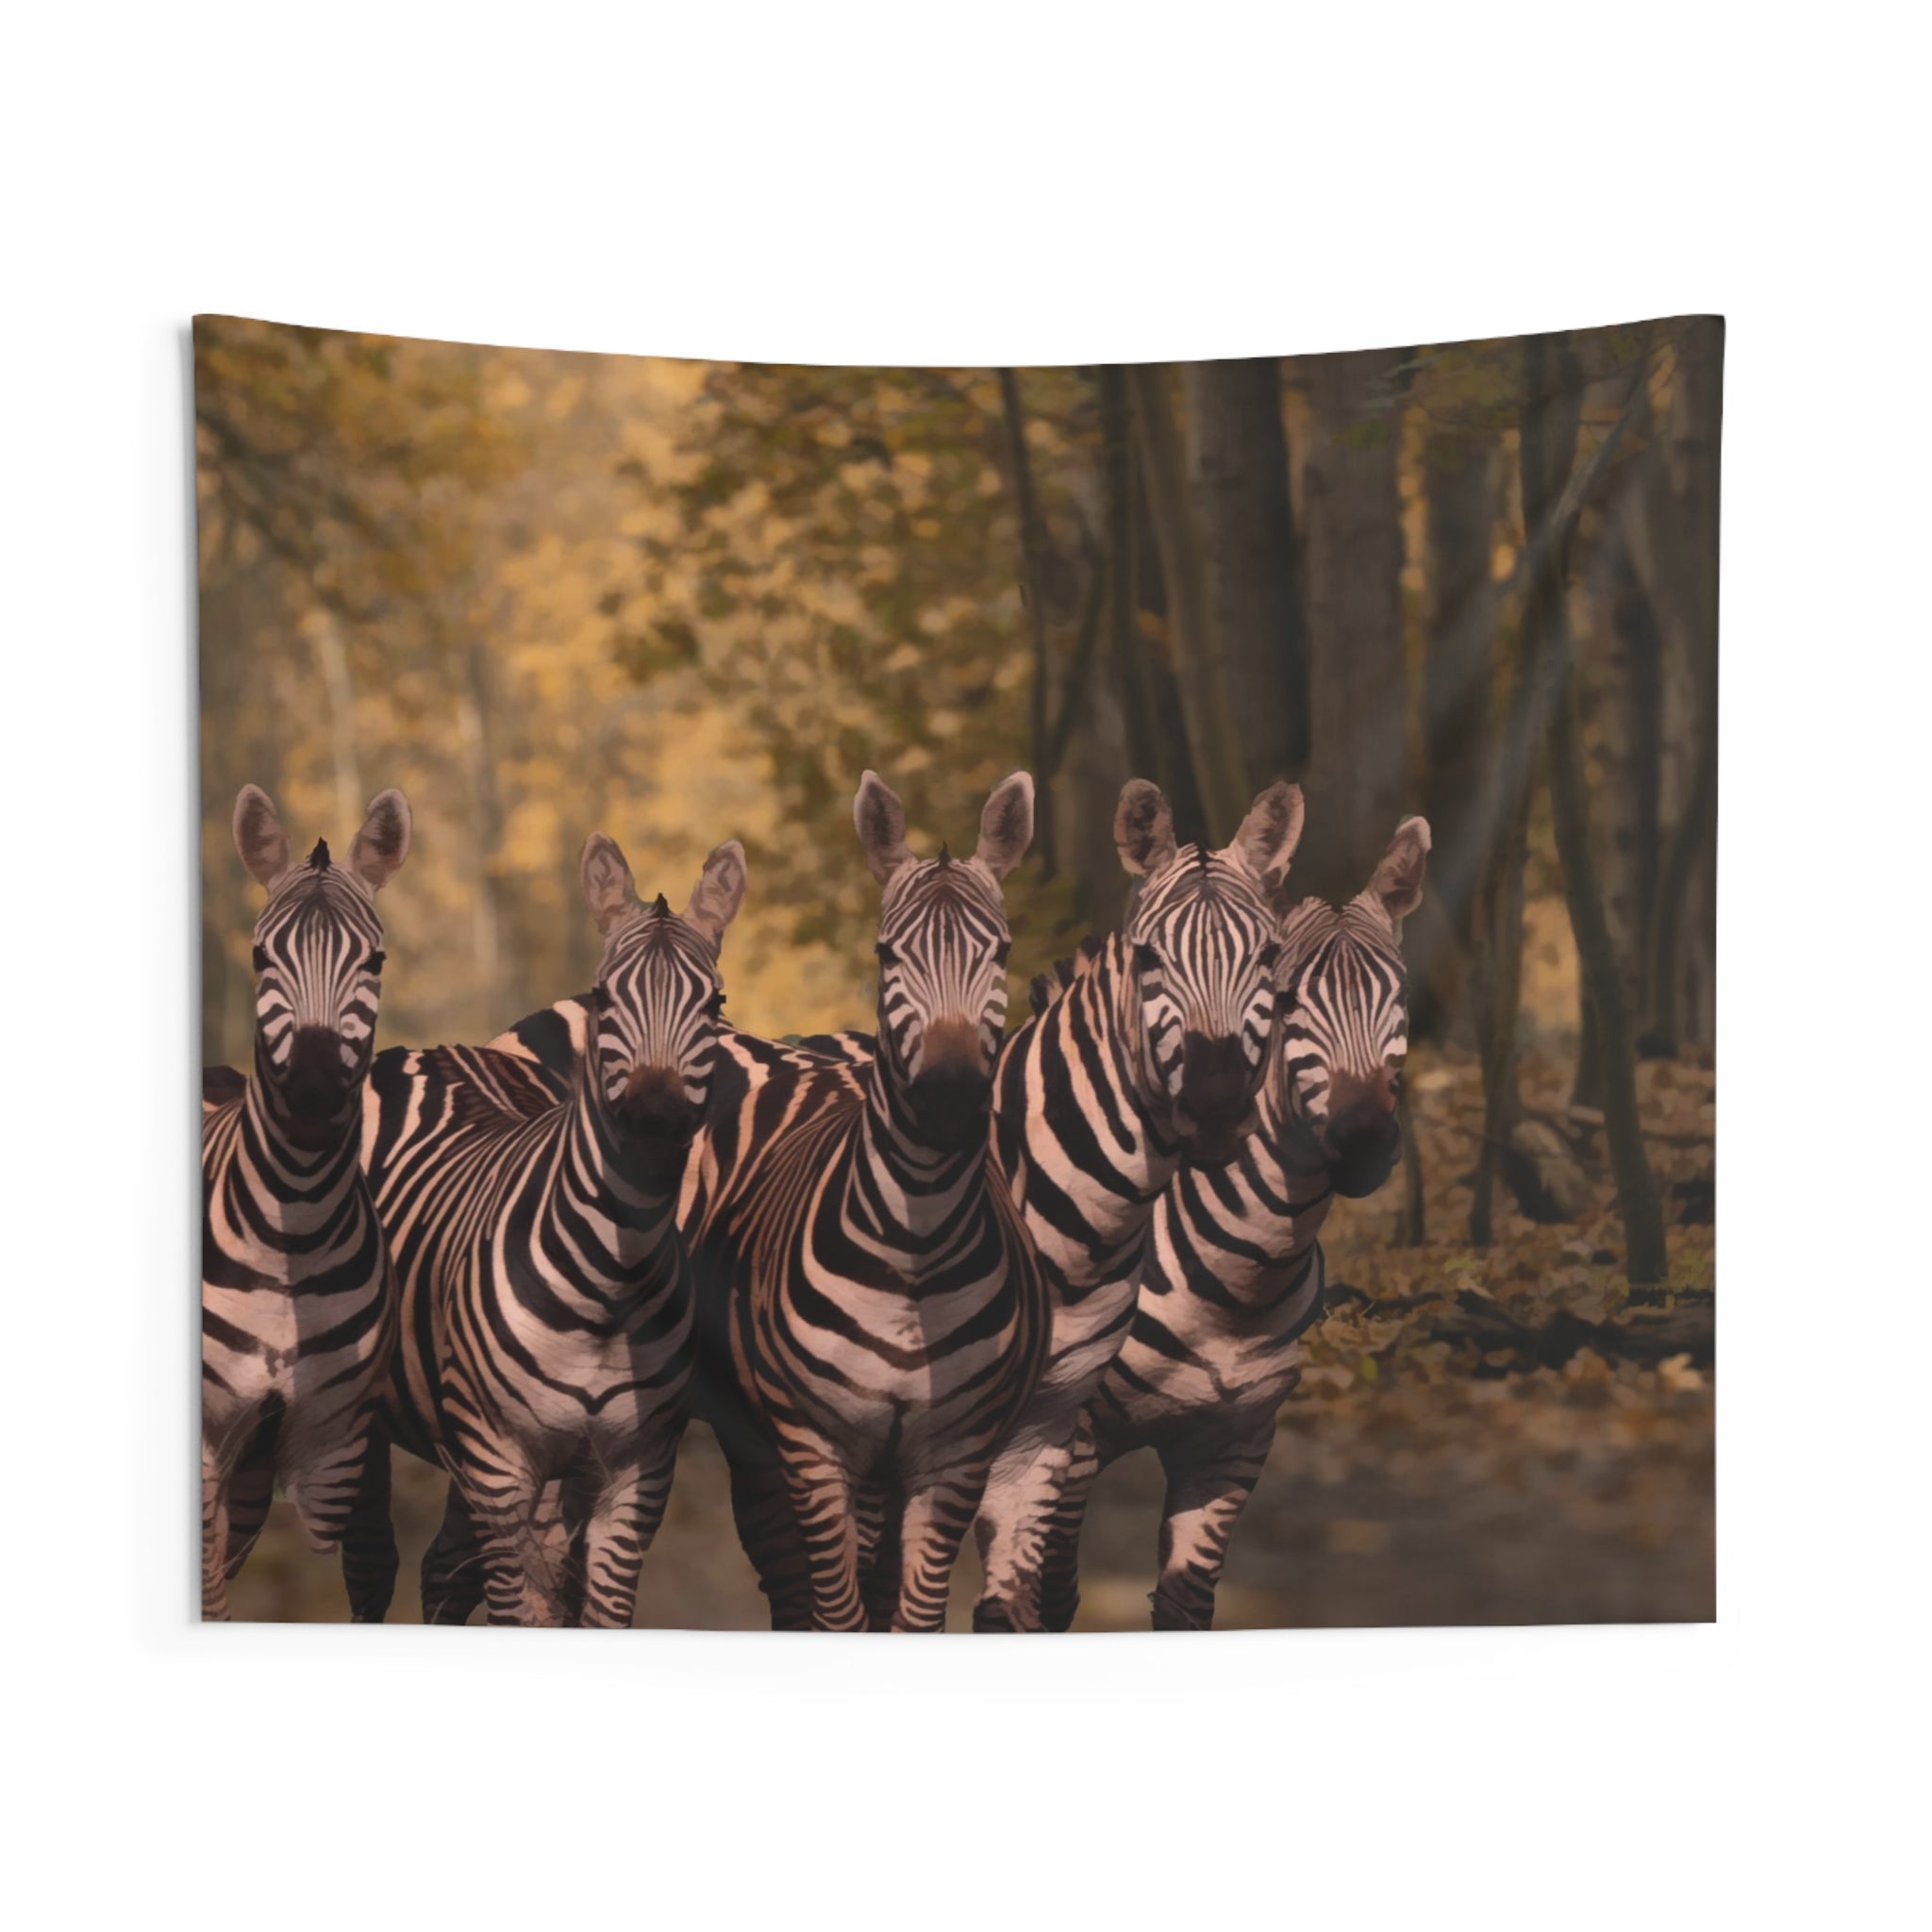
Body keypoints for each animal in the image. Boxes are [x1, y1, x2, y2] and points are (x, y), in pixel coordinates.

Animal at [357, 834, 745, 1626]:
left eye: (714, 1001)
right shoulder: (502, 1463)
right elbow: (523, 1609)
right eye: (604, 998)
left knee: (444, 1569)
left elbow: (600, 1610)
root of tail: (432, 1050)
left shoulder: (636, 1470)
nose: (655, 1117)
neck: (610, 1282)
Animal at [676, 771, 1048, 1630]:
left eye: (1002, 951)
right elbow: (838, 1613)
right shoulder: (816, 1446)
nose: (950, 1096)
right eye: (887, 953)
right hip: (760, 1438)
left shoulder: (955, 1455)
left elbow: (913, 1616)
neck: (917, 1248)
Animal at [1038, 815, 1430, 1629]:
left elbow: (1188, 1602)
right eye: (1284, 1000)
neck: (1243, 1276)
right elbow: (1047, 1595)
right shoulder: (1070, 1437)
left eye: (1399, 995)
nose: (1366, 1136)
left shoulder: (1234, 1445)